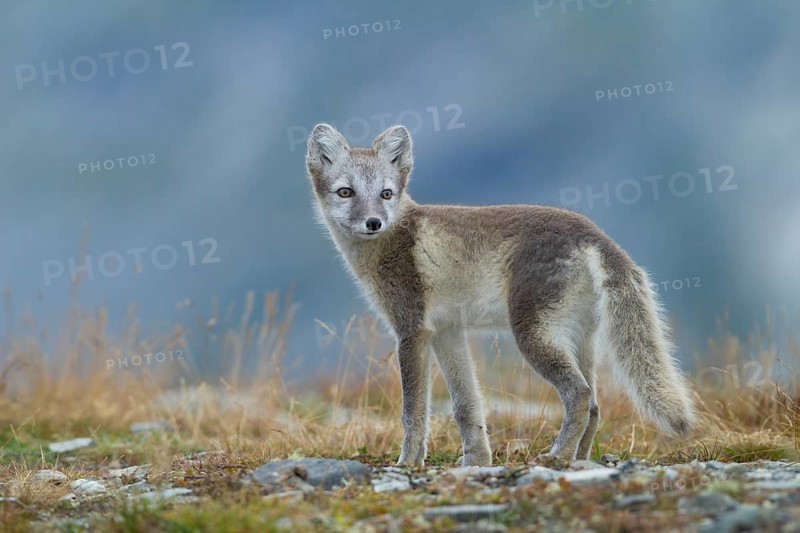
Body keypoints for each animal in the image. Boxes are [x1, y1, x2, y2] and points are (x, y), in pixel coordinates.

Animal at [305, 123, 696, 466]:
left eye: (386, 194)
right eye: (345, 192)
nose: (374, 223)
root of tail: (597, 236)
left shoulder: (411, 331)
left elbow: (413, 412)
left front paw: (407, 462)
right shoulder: (447, 333)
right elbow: (466, 406)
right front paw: (477, 460)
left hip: (534, 334)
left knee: (580, 394)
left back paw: (557, 457)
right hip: (578, 339)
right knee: (596, 406)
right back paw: (579, 459)